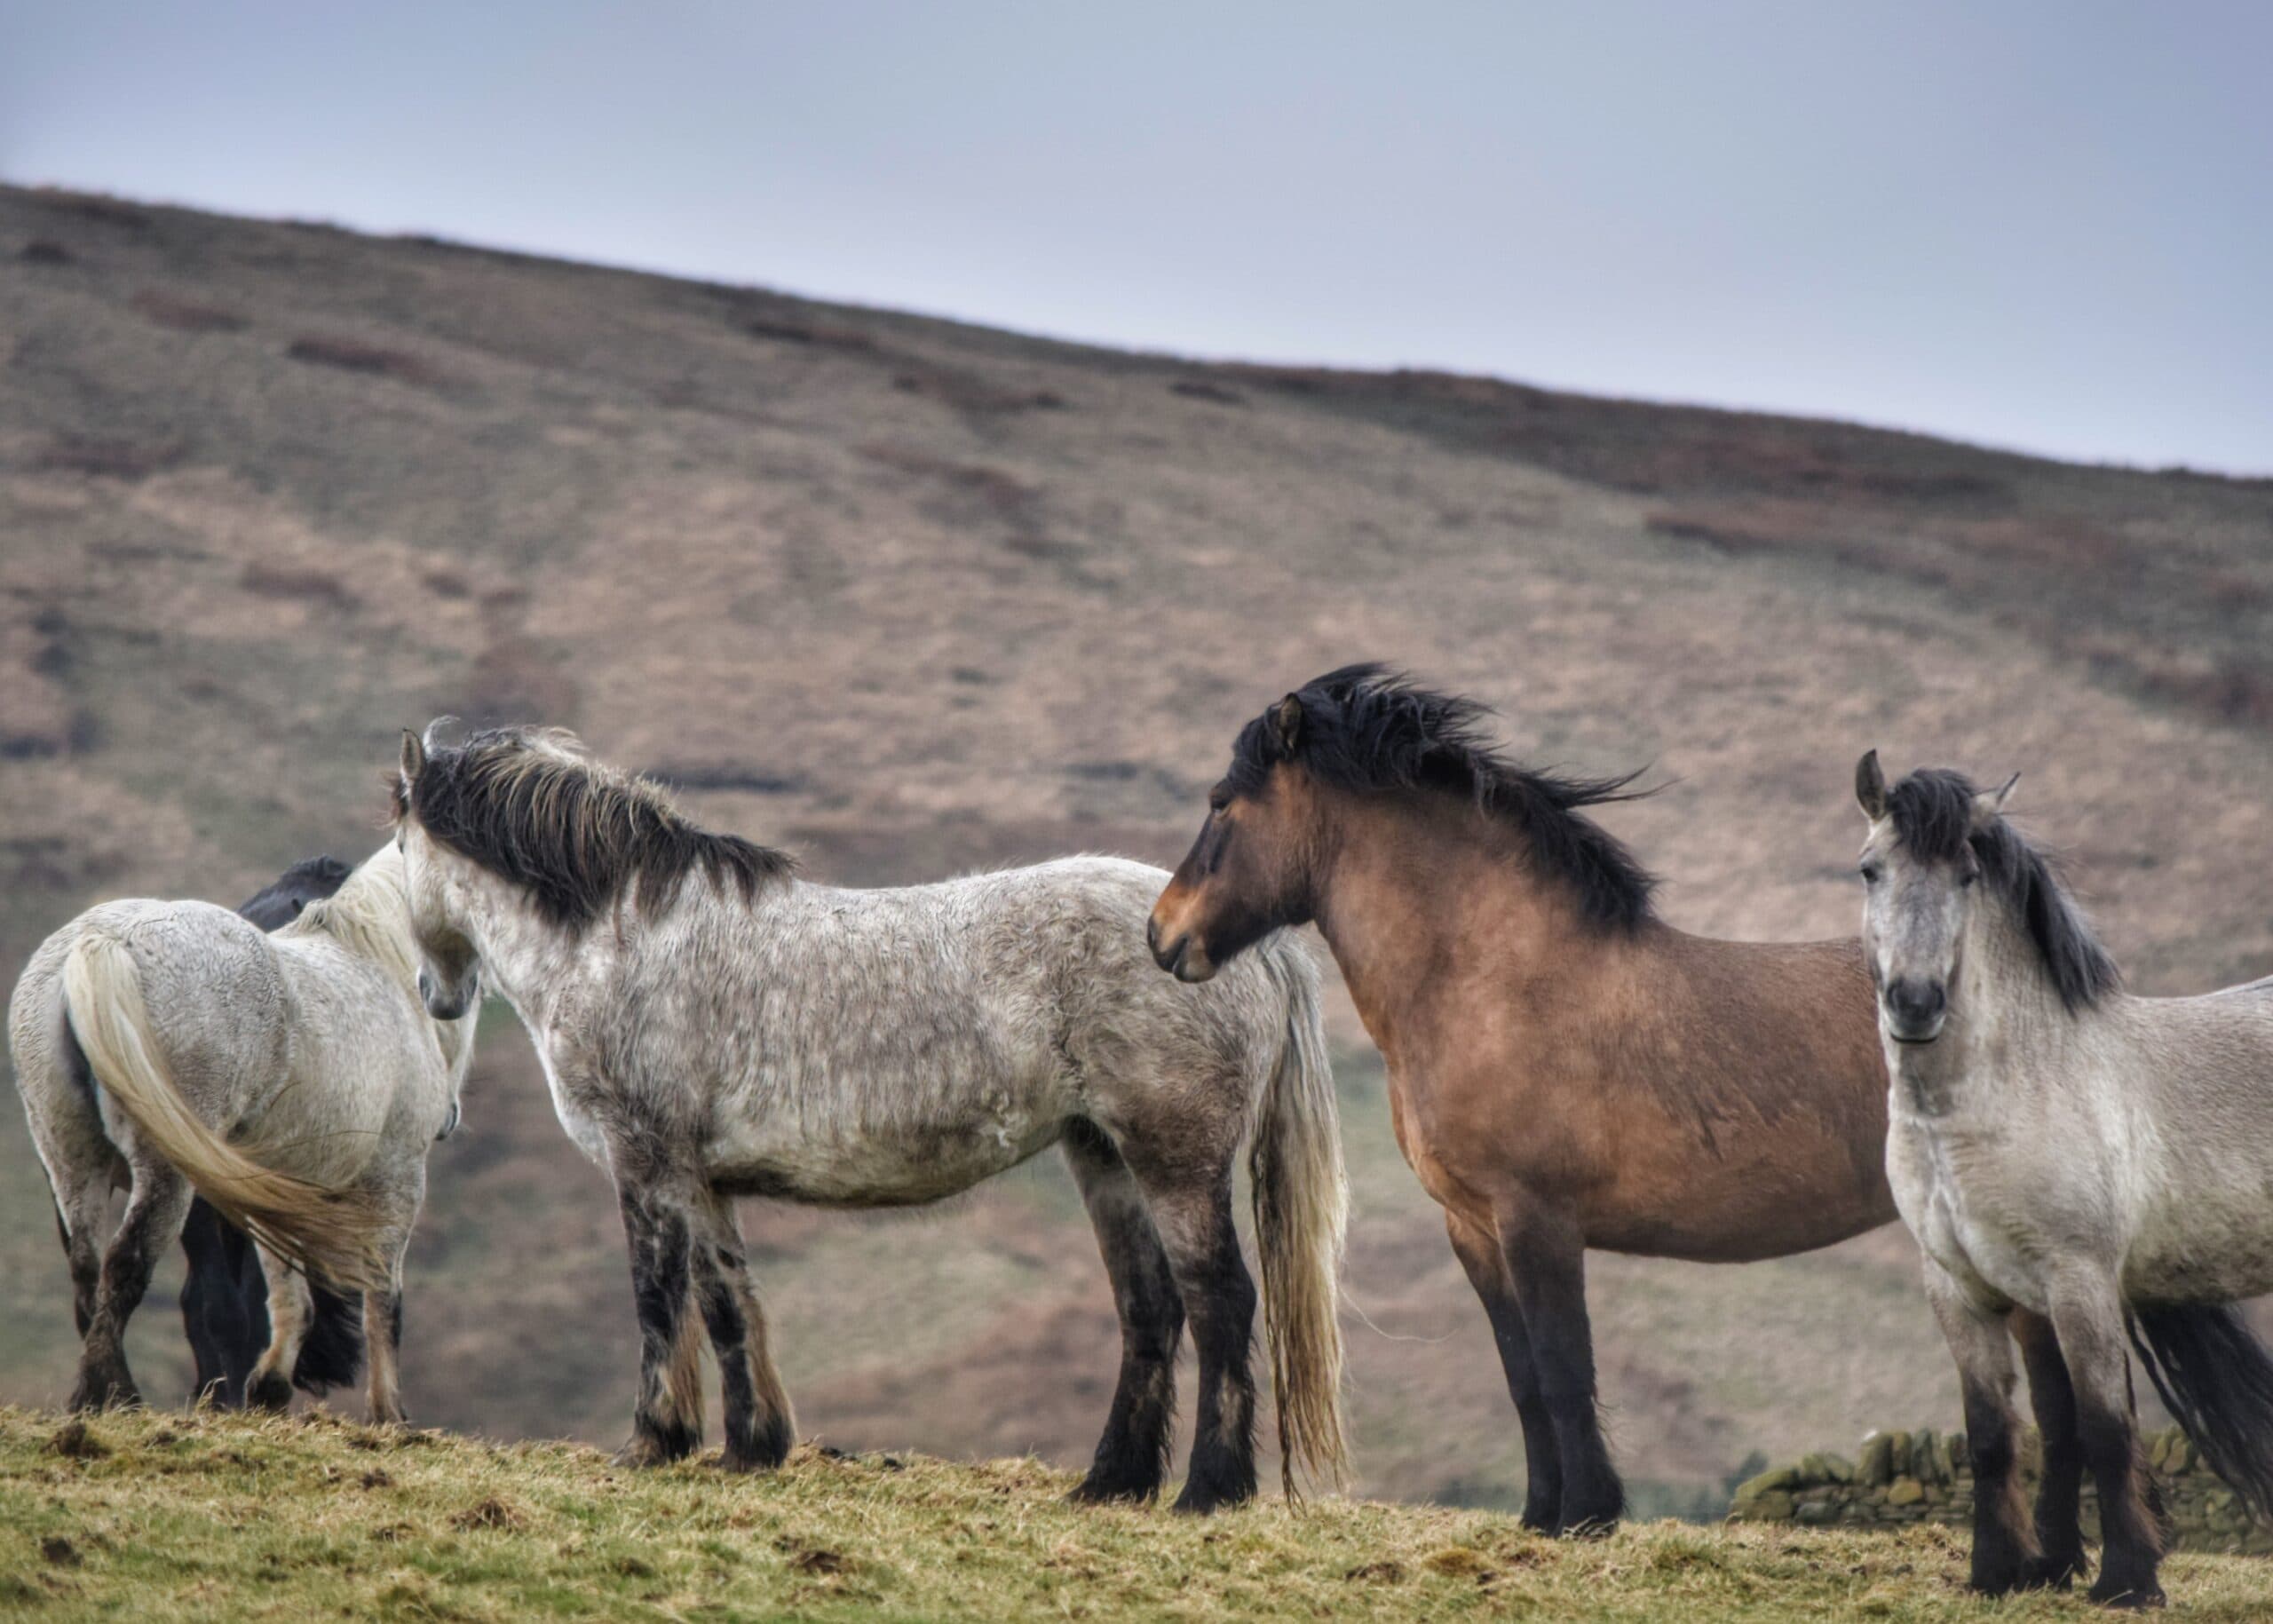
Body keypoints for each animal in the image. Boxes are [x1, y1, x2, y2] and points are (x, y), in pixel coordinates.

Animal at [389, 722, 1348, 1510]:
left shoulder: (645, 1165)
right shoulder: (702, 1181)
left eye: (396, 842)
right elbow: (728, 1302)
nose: (437, 994)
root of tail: (1230, 943)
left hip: (1173, 1159)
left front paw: (654, 1441)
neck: (621, 938)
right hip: (1103, 1156)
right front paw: (751, 1447)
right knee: (1151, 1307)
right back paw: (1111, 1482)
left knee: (1220, 1300)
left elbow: (659, 1301)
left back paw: (1208, 1489)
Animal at [1147, 664, 1895, 1534]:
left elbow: (1565, 1371)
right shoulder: (1476, 1228)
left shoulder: (1539, 1220)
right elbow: (1525, 1379)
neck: (1496, 985)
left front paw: (1590, 1513)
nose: (1160, 933)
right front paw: (1543, 1514)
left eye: (1221, 801)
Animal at [1857, 754, 2273, 1607]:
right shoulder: (1971, 1290)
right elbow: (2006, 1432)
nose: (1915, 1002)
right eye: (1869, 869)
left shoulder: (2079, 1282)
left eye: (1967, 874)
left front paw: (2127, 1580)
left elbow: (2104, 1427)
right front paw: (2006, 1570)